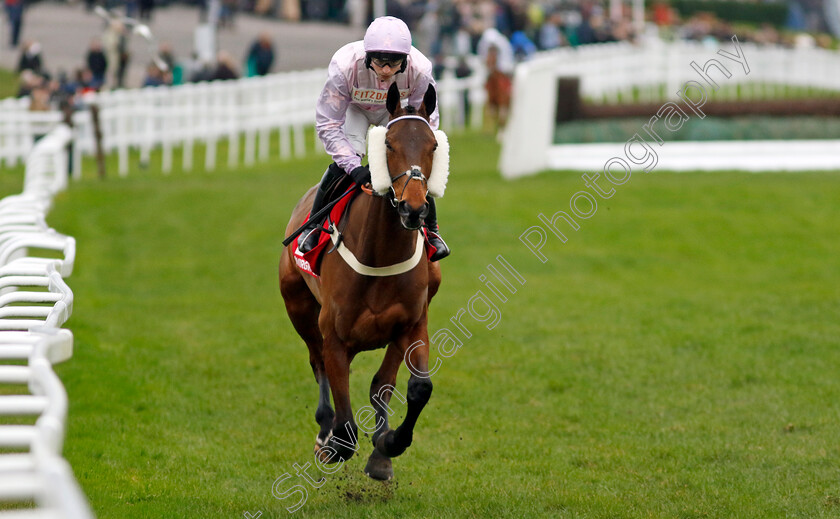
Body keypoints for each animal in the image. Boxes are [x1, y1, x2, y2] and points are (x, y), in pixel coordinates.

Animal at [278, 82, 446, 484]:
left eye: (433, 145)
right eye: (389, 145)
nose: (414, 209)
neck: (379, 255)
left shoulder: (413, 323)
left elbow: (415, 387)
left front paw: (389, 445)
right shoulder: (335, 338)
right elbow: (346, 427)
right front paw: (334, 444)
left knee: (380, 384)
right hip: (298, 307)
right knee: (317, 363)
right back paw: (325, 430)